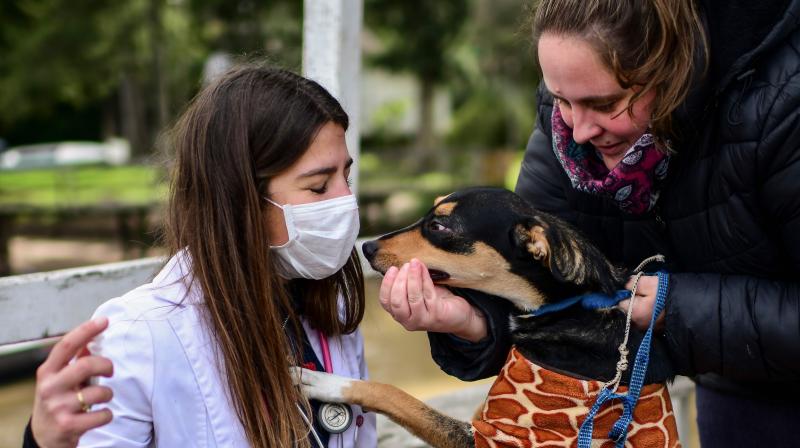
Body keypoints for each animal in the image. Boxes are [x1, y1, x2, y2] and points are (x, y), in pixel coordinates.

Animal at [296, 187, 680, 446]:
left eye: (439, 226)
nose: (367, 247)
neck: (566, 308)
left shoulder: (489, 437)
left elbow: (394, 394)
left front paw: (323, 382)